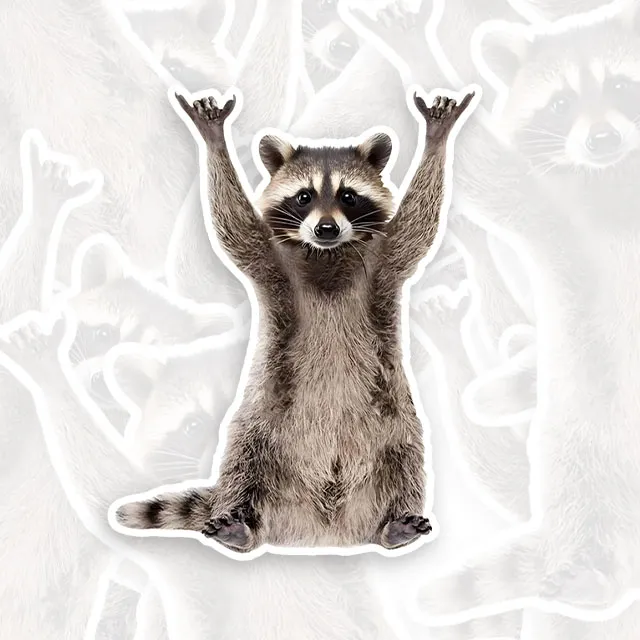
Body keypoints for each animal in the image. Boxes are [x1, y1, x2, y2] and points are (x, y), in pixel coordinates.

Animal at [113, 86, 477, 553]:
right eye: (304, 196)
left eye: (348, 196)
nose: (325, 229)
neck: (326, 257)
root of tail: (323, 529)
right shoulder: (273, 264)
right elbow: (236, 230)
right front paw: (214, 141)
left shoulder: (385, 263)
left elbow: (418, 227)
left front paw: (436, 139)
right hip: (262, 419)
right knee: (241, 459)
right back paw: (241, 526)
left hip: (394, 420)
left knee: (407, 458)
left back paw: (394, 525)